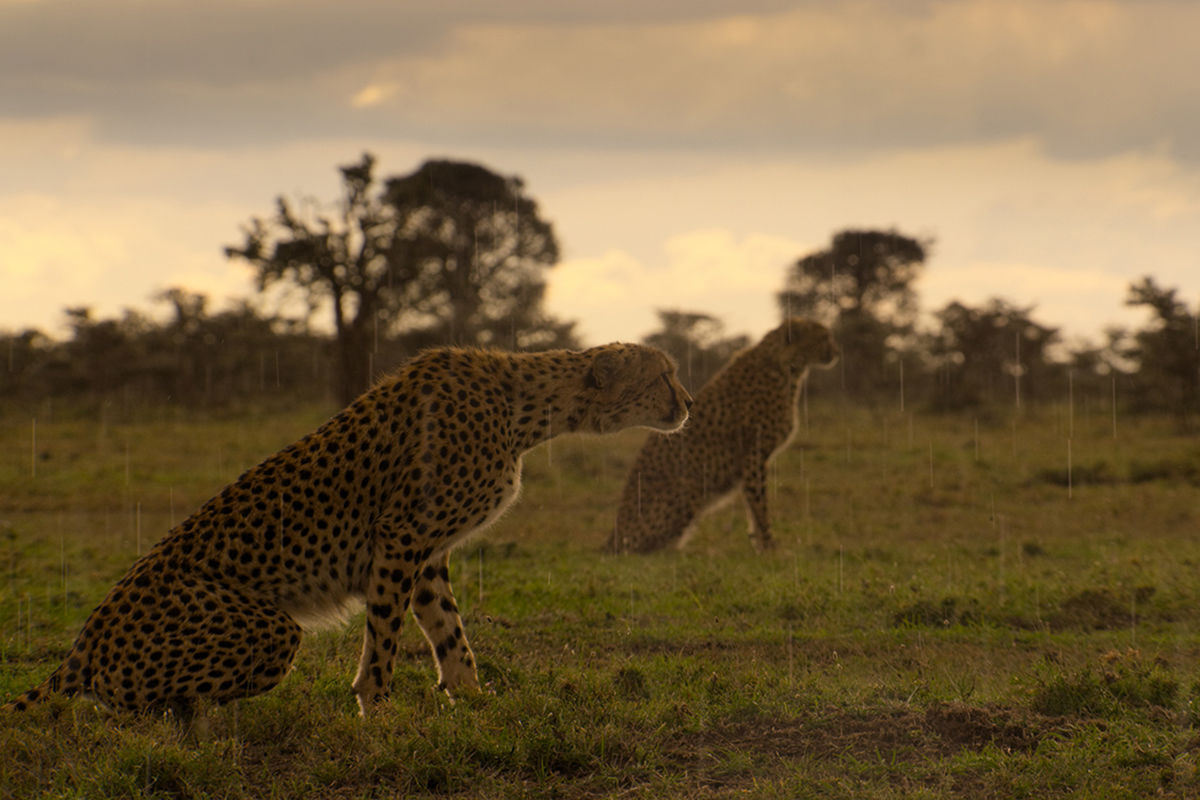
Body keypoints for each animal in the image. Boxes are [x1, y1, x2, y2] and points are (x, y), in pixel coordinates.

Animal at [4, 340, 696, 714]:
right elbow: (385, 638)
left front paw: (474, 700)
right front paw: (382, 714)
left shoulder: (427, 553)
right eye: (663, 375)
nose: (689, 402)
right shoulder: (401, 538)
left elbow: (449, 632)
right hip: (271, 630)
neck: (527, 409)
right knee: (140, 705)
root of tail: (84, 639)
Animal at [609, 316, 835, 554]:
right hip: (691, 489)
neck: (787, 365)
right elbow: (759, 504)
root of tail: (610, 539)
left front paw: (761, 546)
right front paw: (771, 548)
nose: (836, 352)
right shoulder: (753, 455)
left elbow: (753, 508)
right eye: (823, 337)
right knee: (644, 549)